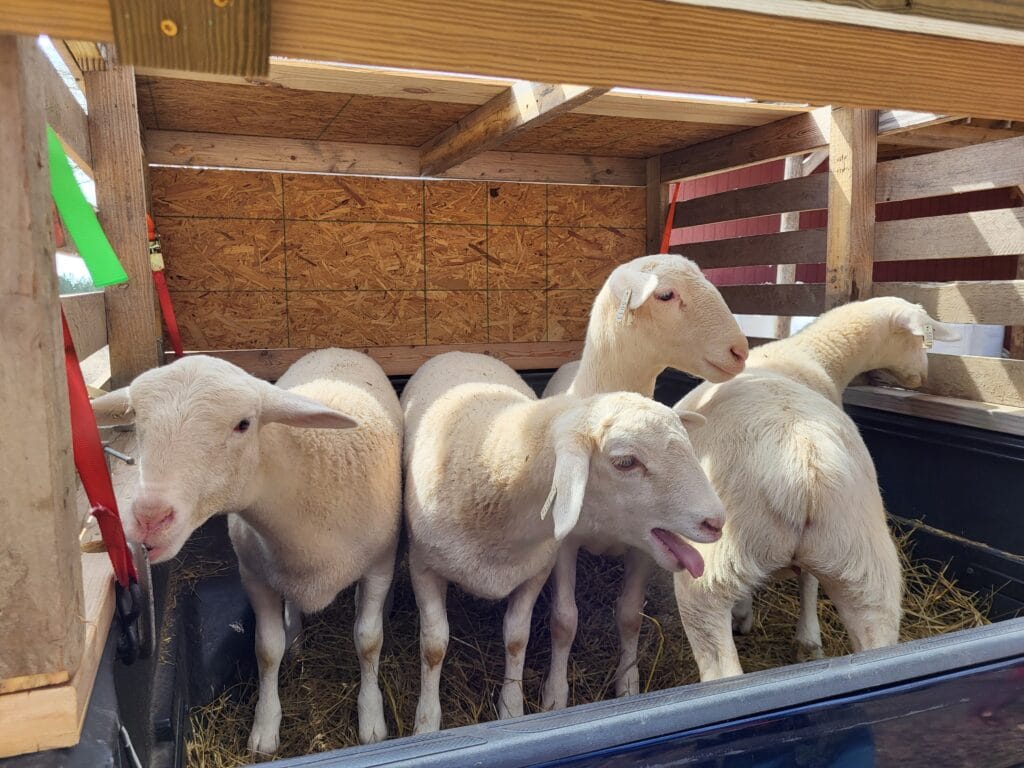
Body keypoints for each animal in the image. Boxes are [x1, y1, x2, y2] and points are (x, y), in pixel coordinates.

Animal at [90, 350, 403, 755]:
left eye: (243, 424)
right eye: (138, 422)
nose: (149, 518)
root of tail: (335, 350)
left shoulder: (378, 567)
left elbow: (368, 640)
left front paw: (372, 718)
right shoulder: (254, 576)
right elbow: (267, 649)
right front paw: (265, 729)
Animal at [401, 351, 725, 732]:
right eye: (625, 462)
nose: (716, 521)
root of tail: (464, 351)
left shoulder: (535, 573)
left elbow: (517, 638)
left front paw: (512, 709)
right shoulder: (422, 567)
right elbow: (434, 645)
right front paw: (425, 723)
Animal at [540, 253, 748, 710]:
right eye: (666, 295)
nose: (741, 350)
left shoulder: (644, 546)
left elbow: (630, 616)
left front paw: (629, 683)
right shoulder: (564, 543)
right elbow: (564, 619)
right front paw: (555, 695)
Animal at [674, 297, 958, 679]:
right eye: (920, 339)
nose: (923, 378)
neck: (812, 355)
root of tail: (802, 457)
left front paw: (751, 619)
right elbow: (808, 582)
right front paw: (806, 641)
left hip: (710, 573)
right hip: (865, 568)